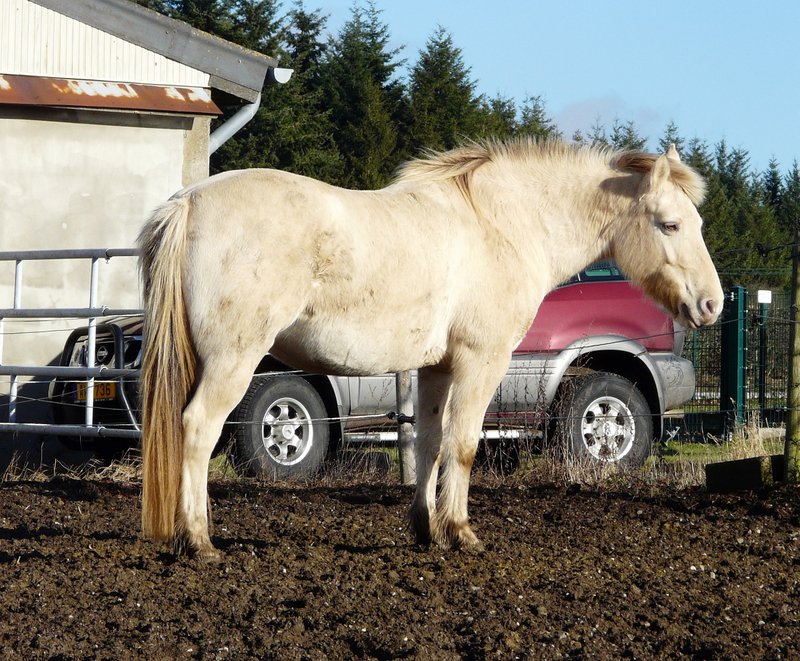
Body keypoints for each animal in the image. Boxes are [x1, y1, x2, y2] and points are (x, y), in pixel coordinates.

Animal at [138, 138, 724, 556]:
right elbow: (463, 445)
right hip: (232, 362)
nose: (712, 303)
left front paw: (427, 529)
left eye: (697, 222)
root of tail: (189, 202)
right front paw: (461, 532)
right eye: (670, 224)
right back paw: (199, 540)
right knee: (197, 428)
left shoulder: (437, 369)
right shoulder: (481, 361)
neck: (501, 226)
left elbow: (429, 443)